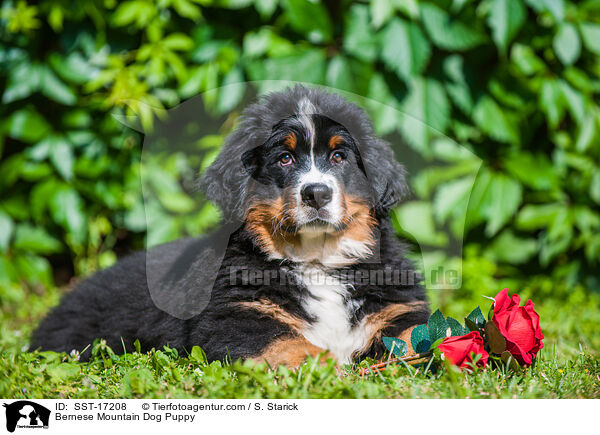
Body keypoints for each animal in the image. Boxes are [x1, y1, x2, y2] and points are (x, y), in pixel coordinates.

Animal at [30, 85, 428, 368]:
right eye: (284, 158)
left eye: (339, 156)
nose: (316, 193)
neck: (317, 261)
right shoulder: (236, 314)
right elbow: (287, 342)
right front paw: (324, 365)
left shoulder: (397, 305)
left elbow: (417, 333)